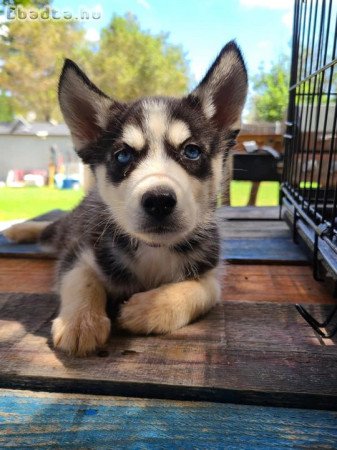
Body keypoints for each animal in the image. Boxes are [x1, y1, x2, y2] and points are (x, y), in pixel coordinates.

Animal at [4, 40, 247, 356]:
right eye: (122, 156)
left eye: (192, 151)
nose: (159, 200)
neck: (154, 249)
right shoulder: (78, 251)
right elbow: (81, 278)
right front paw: (81, 321)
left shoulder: (211, 272)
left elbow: (200, 289)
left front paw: (149, 307)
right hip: (64, 231)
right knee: (50, 228)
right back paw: (19, 228)